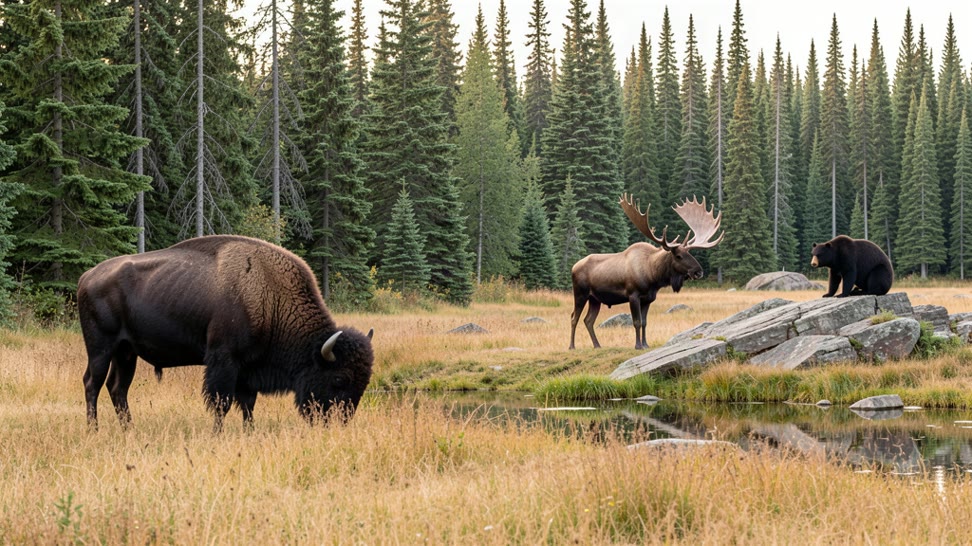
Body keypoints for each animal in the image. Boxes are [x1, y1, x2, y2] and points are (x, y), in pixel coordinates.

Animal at [78, 235, 374, 431]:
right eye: (339, 378)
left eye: (364, 380)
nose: (340, 423)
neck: (270, 296)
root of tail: (87, 276)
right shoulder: (224, 360)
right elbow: (222, 401)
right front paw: (217, 433)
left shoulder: (248, 369)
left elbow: (247, 403)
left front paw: (249, 431)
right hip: (101, 349)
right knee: (93, 383)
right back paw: (94, 429)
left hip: (127, 352)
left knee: (118, 388)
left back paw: (129, 428)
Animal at [569, 193, 724, 350]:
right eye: (679, 256)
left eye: (690, 253)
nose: (699, 272)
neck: (653, 277)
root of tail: (573, 267)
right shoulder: (633, 295)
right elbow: (636, 322)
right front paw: (638, 345)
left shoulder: (648, 298)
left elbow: (644, 322)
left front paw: (645, 344)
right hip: (580, 293)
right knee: (574, 317)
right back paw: (572, 346)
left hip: (595, 299)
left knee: (588, 320)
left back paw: (597, 345)